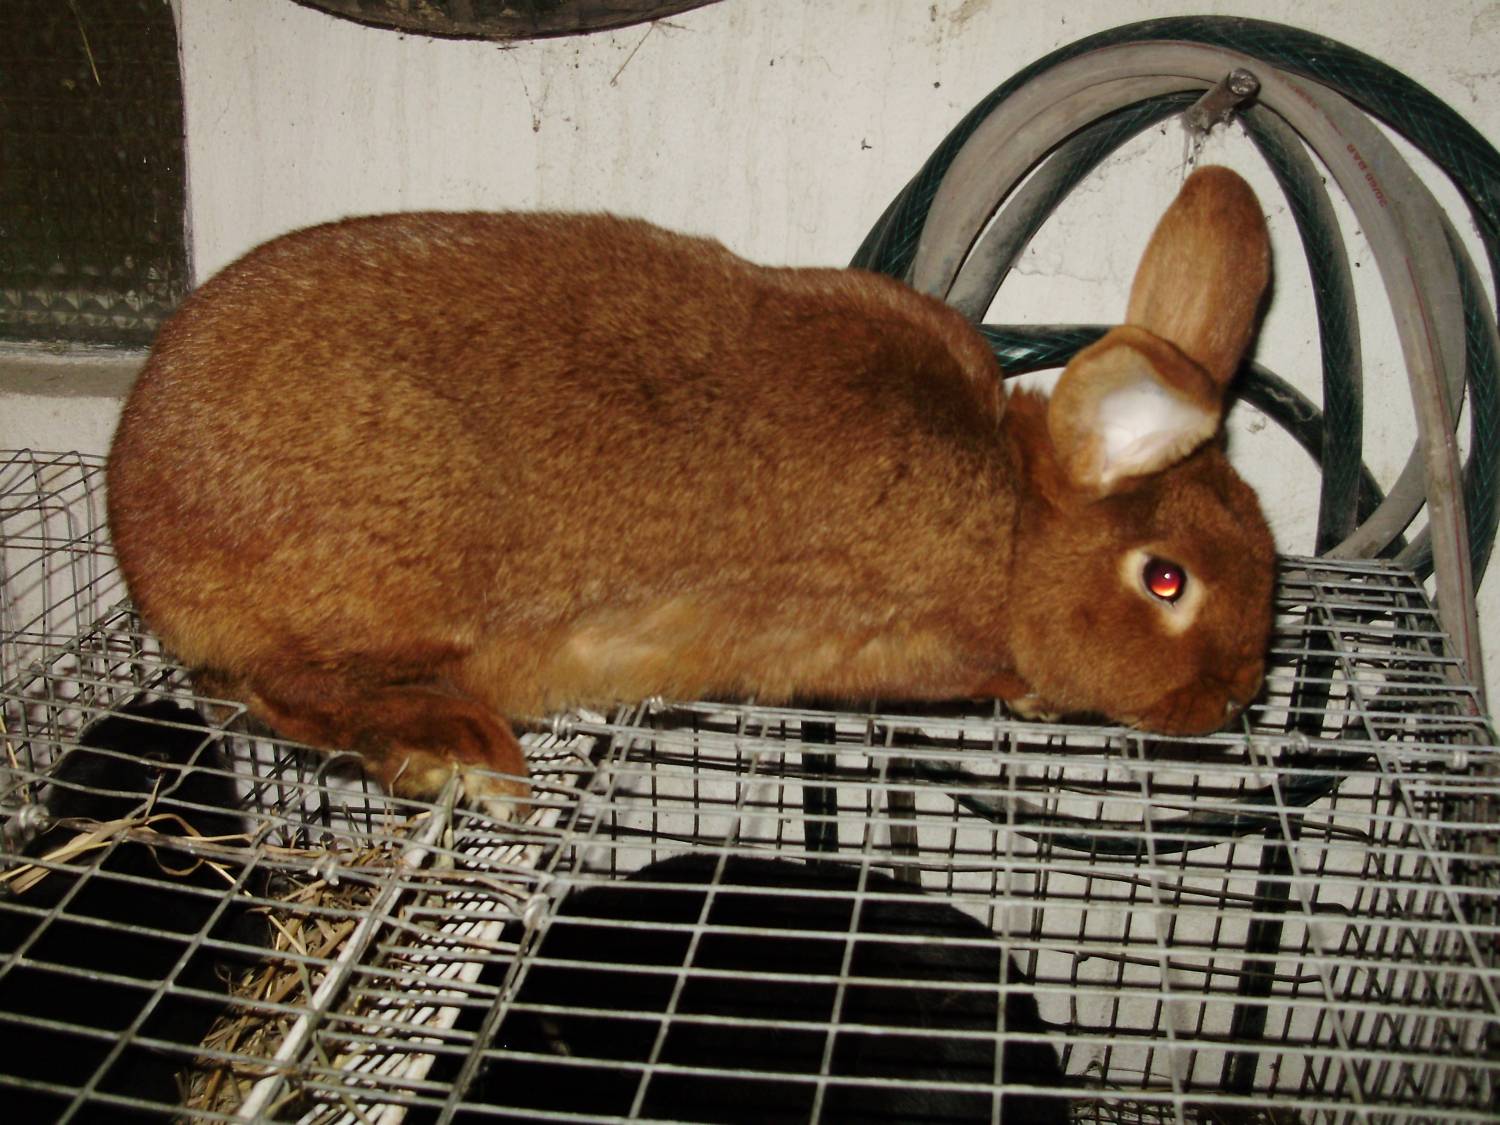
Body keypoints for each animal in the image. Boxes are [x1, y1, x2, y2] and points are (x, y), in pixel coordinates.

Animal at [106, 166, 1276, 813]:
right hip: (389, 582)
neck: (1012, 522)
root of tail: (138, 520)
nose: (1235, 696)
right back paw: (457, 757)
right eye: (1165, 581)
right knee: (276, 686)